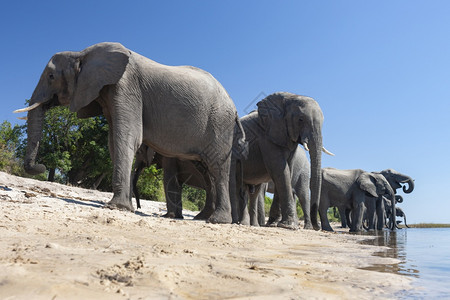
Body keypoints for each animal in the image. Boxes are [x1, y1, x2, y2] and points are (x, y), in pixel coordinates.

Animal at [14, 42, 246, 225]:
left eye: (51, 76)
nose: (41, 166)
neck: (82, 53)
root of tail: (234, 108)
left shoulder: (126, 86)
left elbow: (127, 135)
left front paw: (115, 207)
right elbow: (113, 141)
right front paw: (124, 207)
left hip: (219, 123)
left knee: (217, 167)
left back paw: (217, 221)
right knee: (208, 169)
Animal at [230, 92, 332, 231]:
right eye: (300, 120)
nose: (318, 227)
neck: (289, 98)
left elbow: (286, 170)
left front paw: (276, 224)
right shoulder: (266, 138)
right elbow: (280, 171)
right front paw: (288, 226)